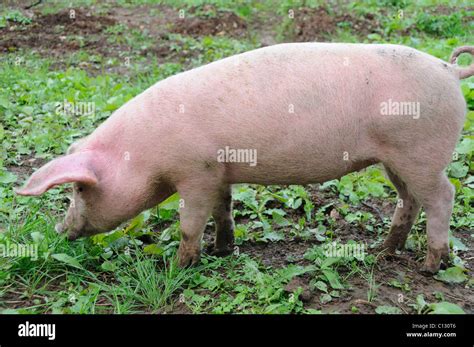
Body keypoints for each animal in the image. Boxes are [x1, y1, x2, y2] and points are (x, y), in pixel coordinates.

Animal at [14, 43, 474, 274]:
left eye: (78, 189)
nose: (60, 229)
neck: (141, 153)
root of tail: (450, 71)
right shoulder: (219, 172)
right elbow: (225, 210)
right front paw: (223, 251)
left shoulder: (196, 172)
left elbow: (189, 223)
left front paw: (179, 267)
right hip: (395, 159)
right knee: (408, 200)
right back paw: (384, 253)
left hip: (420, 152)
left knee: (442, 196)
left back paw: (429, 267)